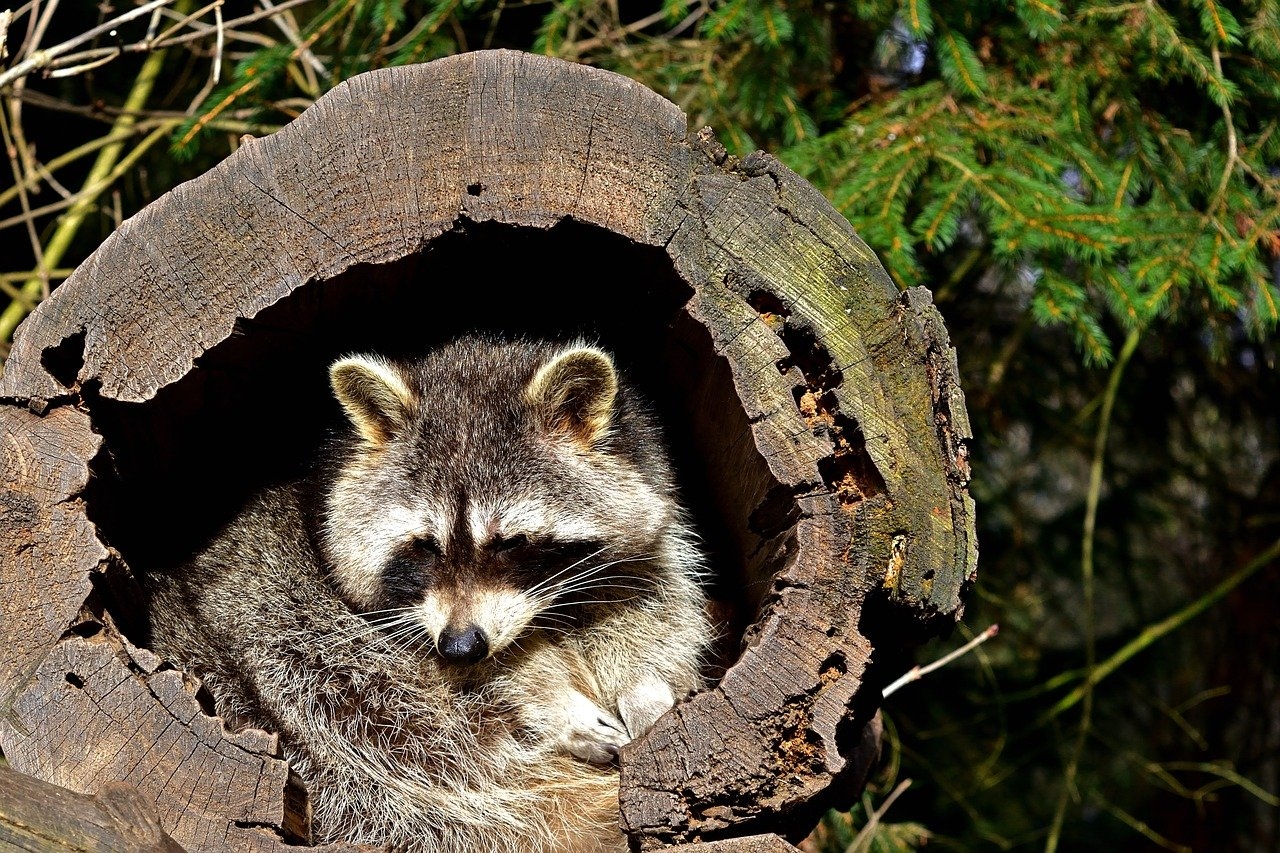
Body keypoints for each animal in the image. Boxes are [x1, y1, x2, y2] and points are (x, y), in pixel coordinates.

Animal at [147, 333, 721, 850]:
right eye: (424, 545)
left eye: (510, 542)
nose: (461, 645)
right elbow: (481, 679)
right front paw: (551, 701)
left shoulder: (645, 541)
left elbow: (654, 607)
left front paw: (645, 686)